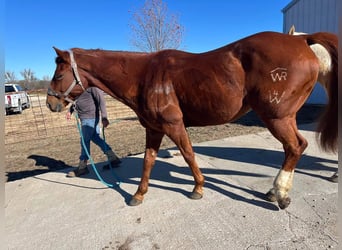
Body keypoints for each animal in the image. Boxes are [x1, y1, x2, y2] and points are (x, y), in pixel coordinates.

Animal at [45, 31, 336, 211]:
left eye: (58, 75)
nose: (50, 104)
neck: (145, 75)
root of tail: (301, 41)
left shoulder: (174, 126)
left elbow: (188, 154)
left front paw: (198, 187)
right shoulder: (154, 129)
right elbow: (149, 161)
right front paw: (138, 194)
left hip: (277, 117)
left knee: (294, 147)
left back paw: (280, 194)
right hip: (287, 117)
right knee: (296, 147)